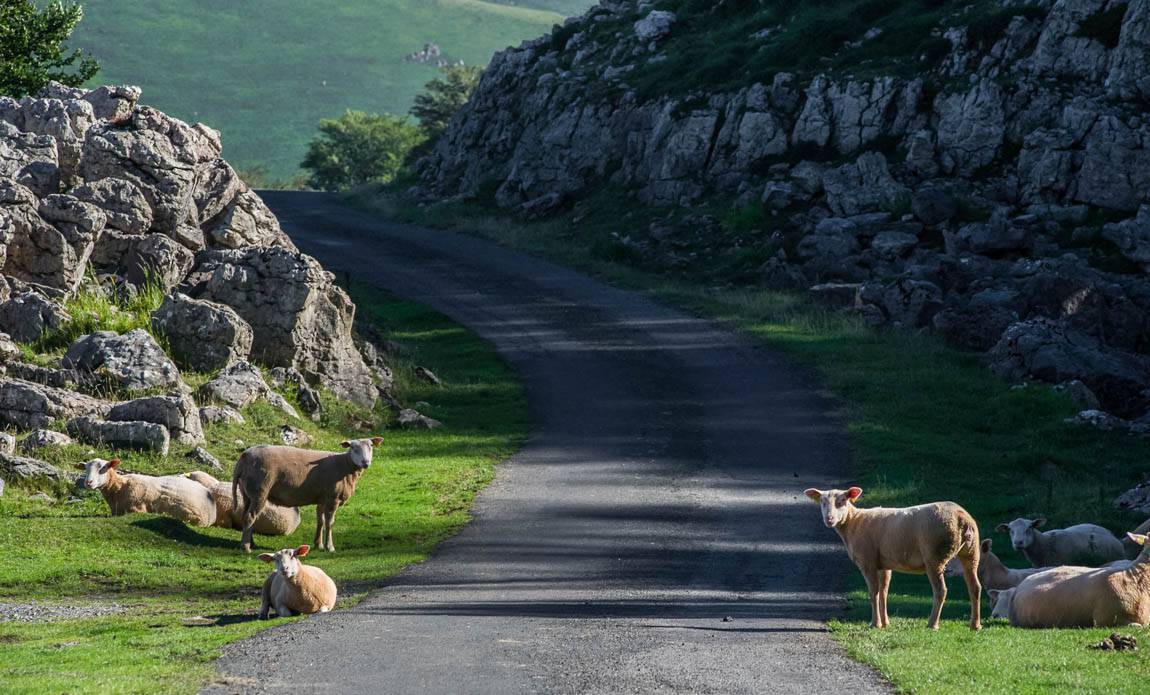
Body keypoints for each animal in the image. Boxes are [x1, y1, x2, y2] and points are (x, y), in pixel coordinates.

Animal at [231, 439, 384, 554]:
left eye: (371, 446)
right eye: (353, 447)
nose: (366, 462)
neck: (345, 465)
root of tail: (244, 456)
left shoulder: (322, 499)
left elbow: (320, 521)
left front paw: (318, 544)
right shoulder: (332, 498)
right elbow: (329, 523)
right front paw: (330, 547)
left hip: (247, 492)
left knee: (245, 516)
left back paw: (251, 543)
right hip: (259, 490)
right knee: (250, 517)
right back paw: (246, 548)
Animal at [805, 487, 984, 630]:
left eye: (842, 501)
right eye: (822, 502)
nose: (829, 519)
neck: (853, 522)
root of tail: (962, 518)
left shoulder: (867, 560)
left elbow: (874, 592)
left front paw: (875, 623)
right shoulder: (884, 563)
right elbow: (884, 591)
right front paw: (885, 623)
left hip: (935, 554)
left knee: (941, 590)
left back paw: (932, 624)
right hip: (972, 551)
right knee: (975, 587)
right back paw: (975, 625)